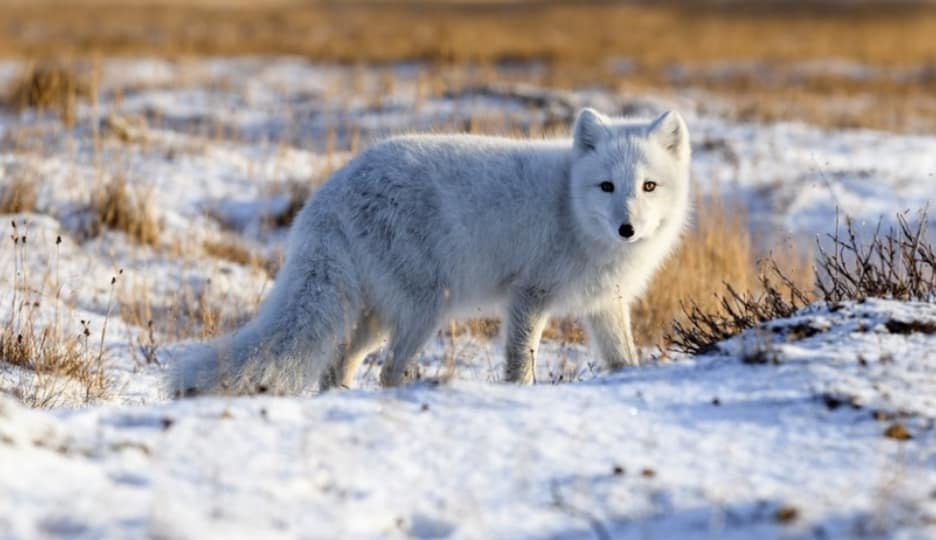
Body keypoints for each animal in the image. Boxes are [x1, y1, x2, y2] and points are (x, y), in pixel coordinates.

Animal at [172, 109, 692, 396]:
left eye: (648, 186)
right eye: (606, 186)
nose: (627, 228)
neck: (571, 208)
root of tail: (331, 190)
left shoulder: (605, 306)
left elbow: (624, 360)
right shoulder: (528, 296)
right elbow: (520, 365)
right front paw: (520, 396)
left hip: (376, 316)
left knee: (337, 368)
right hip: (424, 309)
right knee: (387, 371)